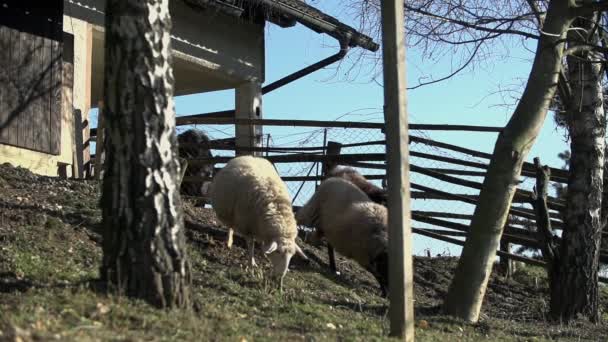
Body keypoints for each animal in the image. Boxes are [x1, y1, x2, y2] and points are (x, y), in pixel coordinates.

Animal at [210, 156, 306, 288]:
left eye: (292, 255)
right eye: (279, 252)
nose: (281, 276)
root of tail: (247, 156)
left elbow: (264, 246)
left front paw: (264, 254)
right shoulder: (247, 226)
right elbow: (251, 245)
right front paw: (252, 264)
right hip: (231, 214)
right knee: (230, 226)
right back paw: (229, 241)